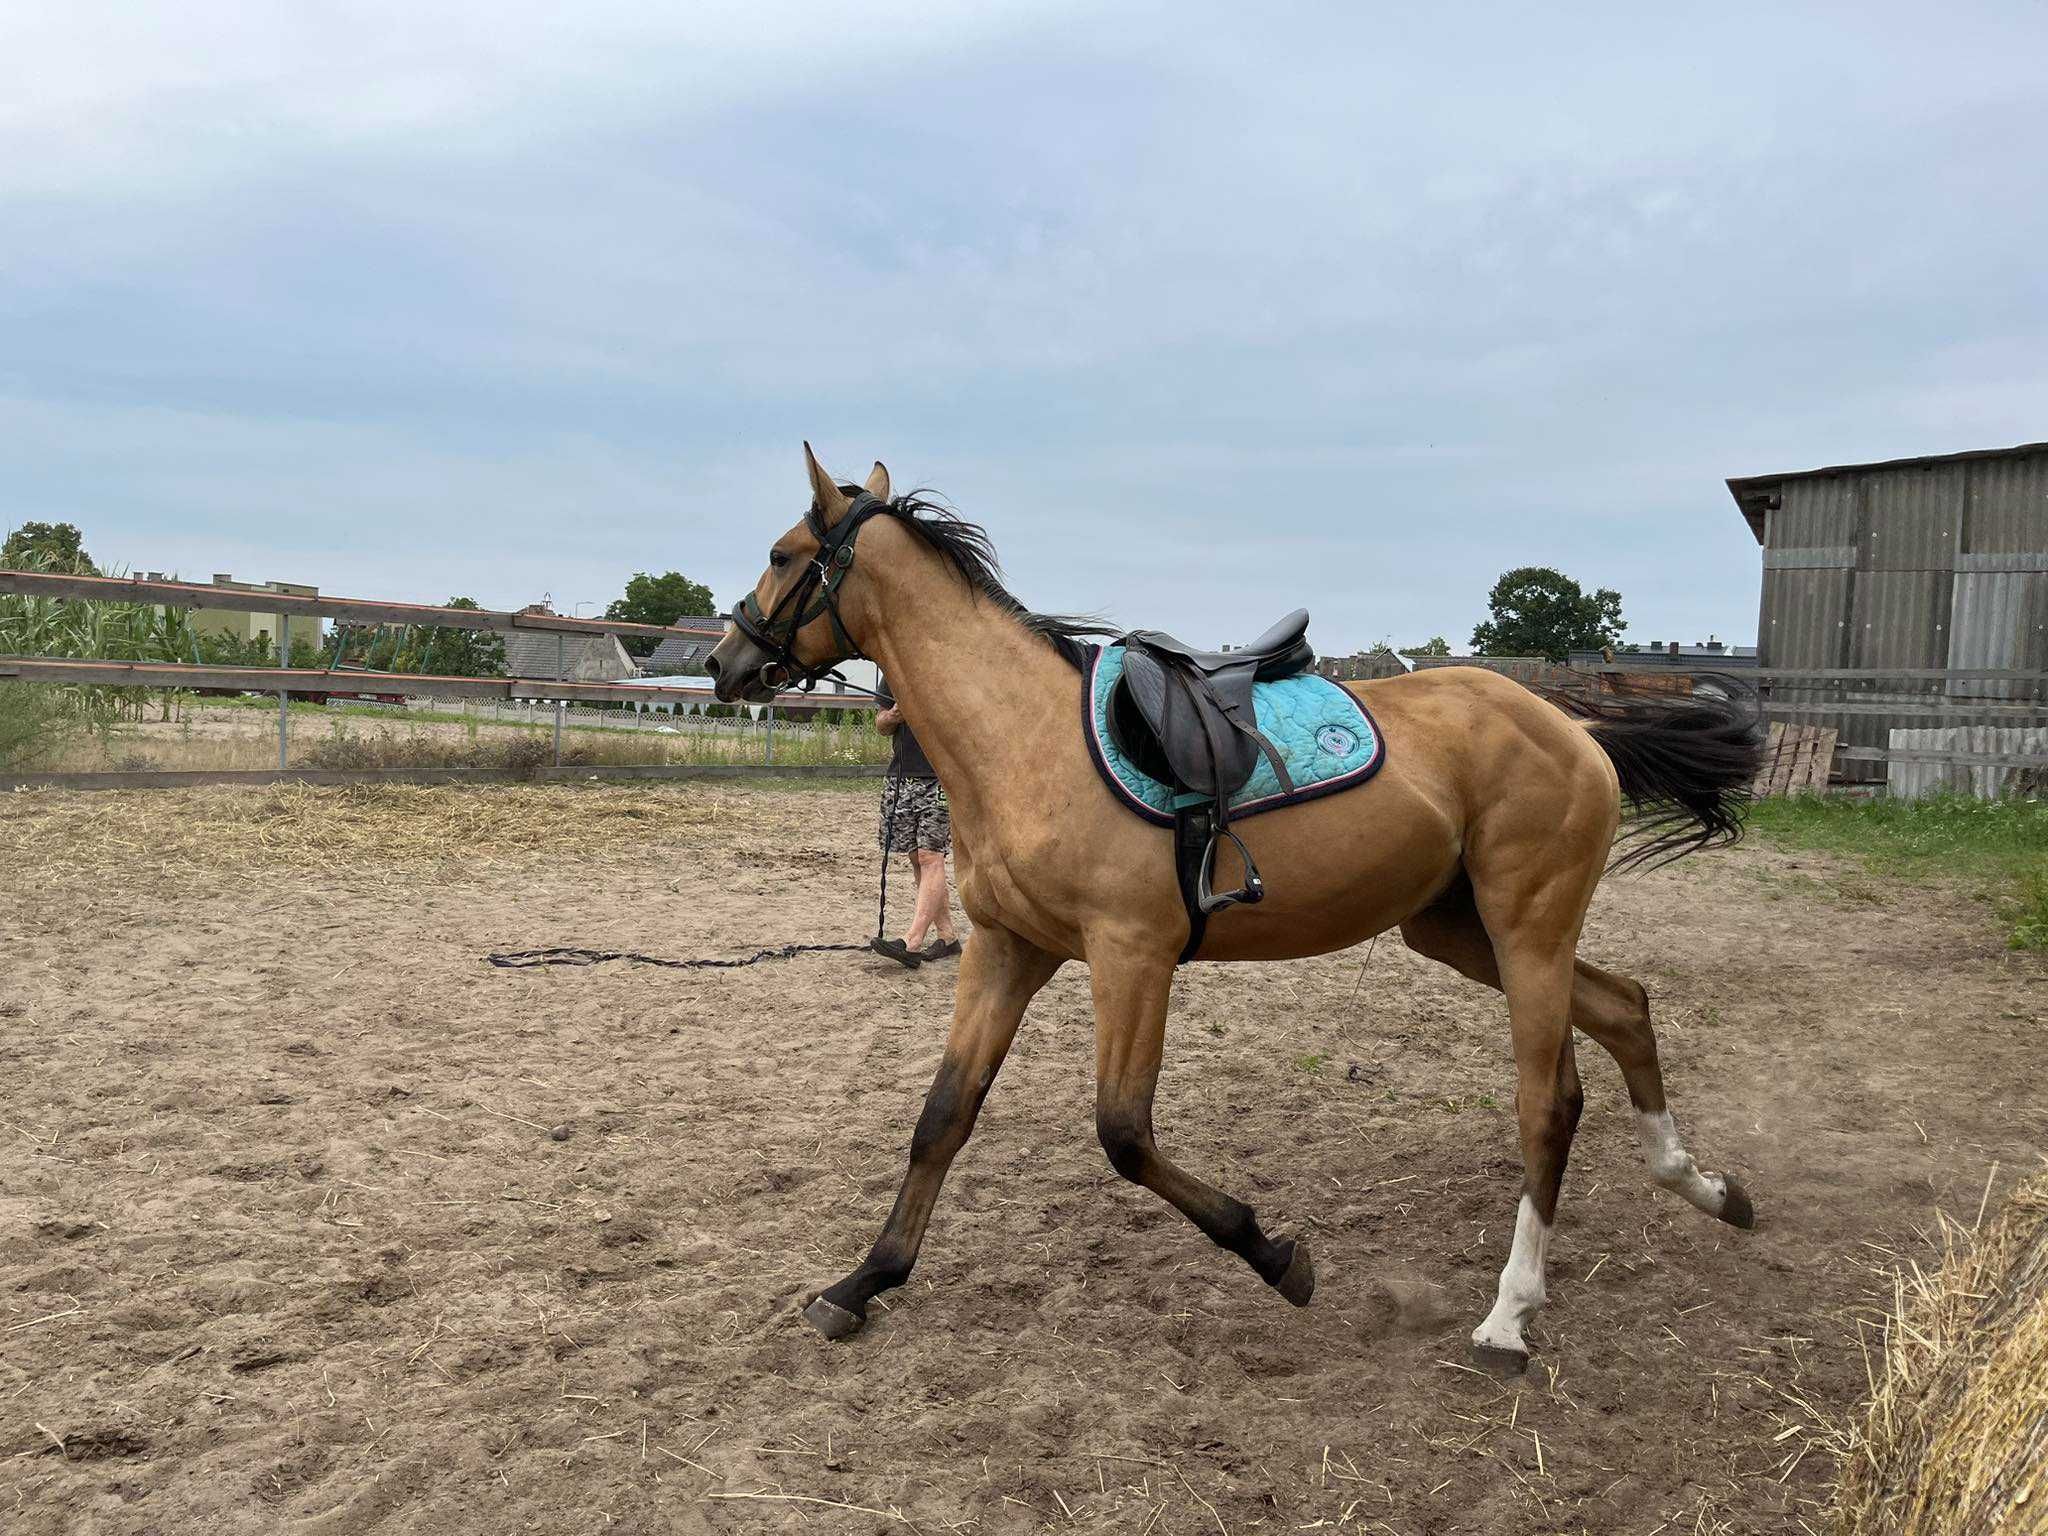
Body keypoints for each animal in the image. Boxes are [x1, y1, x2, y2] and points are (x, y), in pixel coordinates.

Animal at [704, 442, 1761, 1368]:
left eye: (783, 556)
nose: (723, 664)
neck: (1025, 739)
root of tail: (1571, 723)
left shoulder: (1132, 956)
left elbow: (1124, 1135)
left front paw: (1275, 1254)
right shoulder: (1006, 948)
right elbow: (942, 1116)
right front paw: (862, 1283)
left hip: (1524, 928)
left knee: (1547, 1101)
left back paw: (1509, 1314)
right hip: (1457, 930)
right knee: (1625, 1009)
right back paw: (1707, 1190)